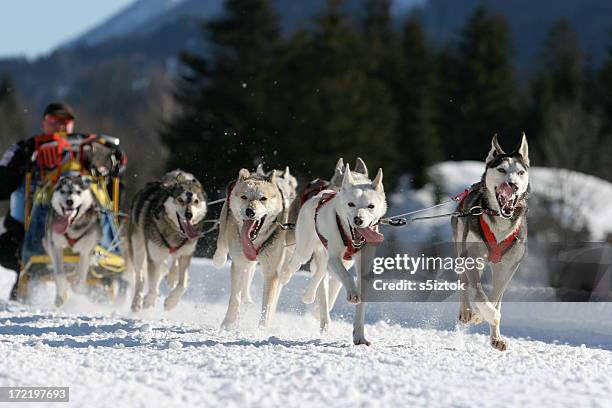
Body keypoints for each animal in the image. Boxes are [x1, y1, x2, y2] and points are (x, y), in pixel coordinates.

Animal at [44, 175, 101, 306]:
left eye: (78, 192)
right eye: (63, 191)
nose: (69, 201)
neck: (72, 227)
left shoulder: (86, 250)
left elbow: (79, 281)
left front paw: (78, 288)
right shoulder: (56, 246)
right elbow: (59, 274)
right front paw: (61, 295)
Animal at [129, 171, 208, 310]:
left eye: (196, 201)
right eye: (180, 200)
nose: (189, 215)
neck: (175, 232)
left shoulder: (186, 254)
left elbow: (183, 285)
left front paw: (171, 302)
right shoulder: (154, 257)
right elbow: (153, 284)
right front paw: (149, 300)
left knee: (173, 260)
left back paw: (172, 275)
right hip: (138, 249)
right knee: (140, 276)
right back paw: (137, 301)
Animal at [213, 167, 292, 330]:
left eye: (263, 198)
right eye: (244, 197)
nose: (250, 211)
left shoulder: (271, 272)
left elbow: (267, 305)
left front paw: (262, 329)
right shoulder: (238, 263)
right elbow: (235, 297)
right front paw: (228, 323)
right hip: (226, 229)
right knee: (222, 248)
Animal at [452, 134, 528, 350]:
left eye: (520, 172)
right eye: (501, 170)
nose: (513, 185)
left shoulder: (509, 266)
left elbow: (495, 298)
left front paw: (485, 318)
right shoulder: (471, 257)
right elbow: (479, 293)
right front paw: (482, 314)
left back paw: (495, 337)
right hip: (460, 248)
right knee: (463, 281)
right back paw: (466, 311)